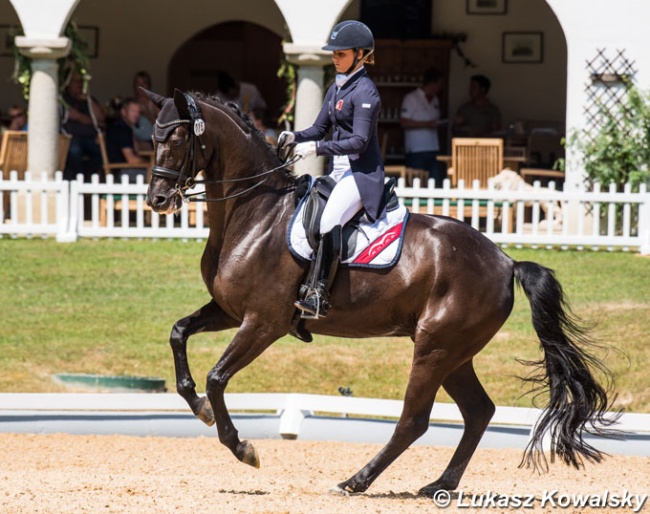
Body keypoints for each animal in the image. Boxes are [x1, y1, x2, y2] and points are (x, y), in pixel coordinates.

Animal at [144, 89, 616, 496]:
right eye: (153, 137)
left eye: (179, 137)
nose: (158, 200)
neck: (256, 214)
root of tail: (505, 261)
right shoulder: (229, 310)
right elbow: (178, 334)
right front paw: (199, 408)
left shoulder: (264, 322)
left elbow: (217, 377)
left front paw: (242, 447)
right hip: (455, 353)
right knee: (479, 411)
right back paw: (440, 484)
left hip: (435, 349)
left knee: (414, 420)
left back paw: (356, 481)